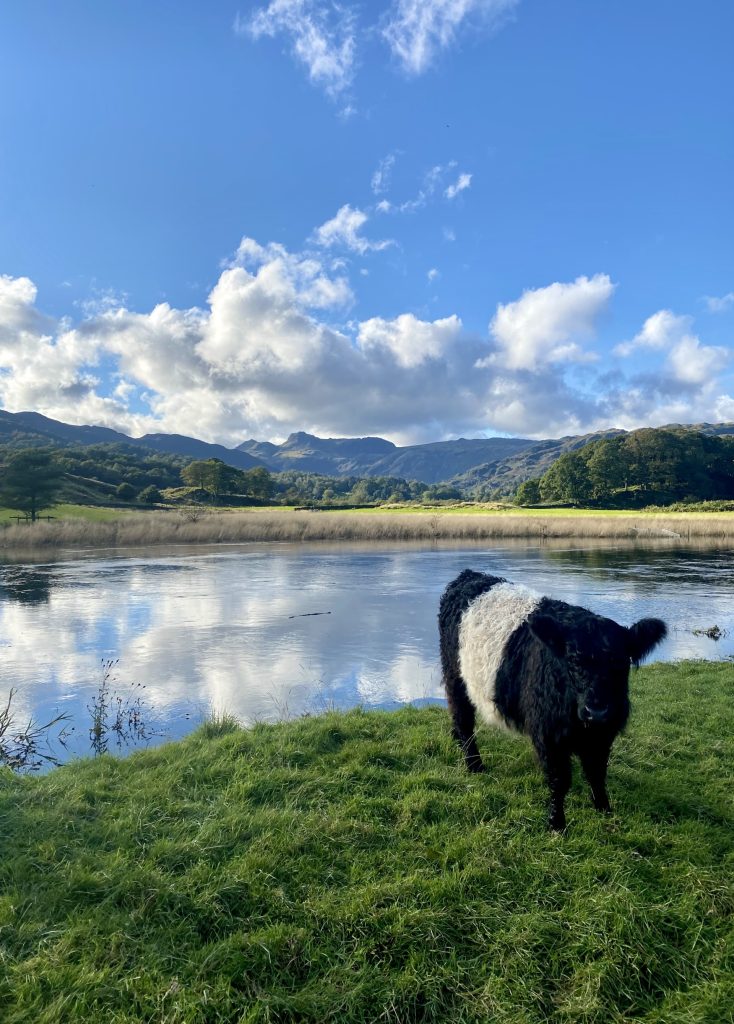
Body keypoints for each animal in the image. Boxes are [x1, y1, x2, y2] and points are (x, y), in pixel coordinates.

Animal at [439, 569, 667, 830]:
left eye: (620, 662)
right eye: (574, 660)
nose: (596, 711)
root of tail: (469, 575)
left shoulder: (603, 734)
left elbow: (597, 773)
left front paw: (604, 810)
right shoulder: (549, 735)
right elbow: (560, 780)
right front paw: (557, 823)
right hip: (456, 678)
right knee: (463, 721)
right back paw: (475, 765)